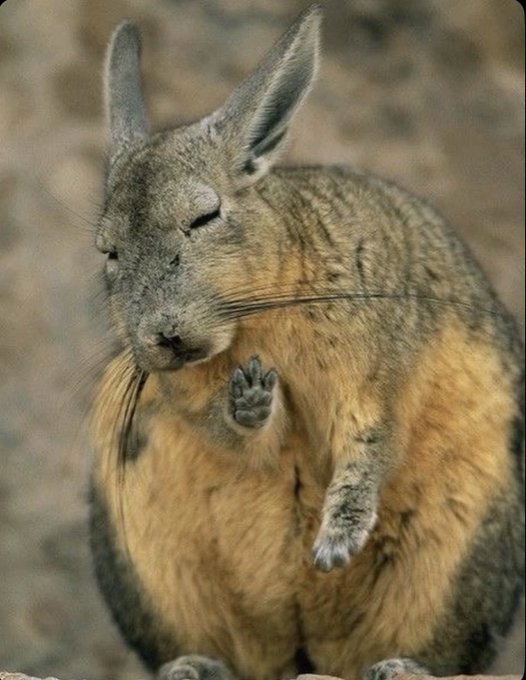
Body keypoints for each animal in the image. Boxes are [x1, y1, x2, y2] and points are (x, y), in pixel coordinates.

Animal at [89, 5, 524, 680]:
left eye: (204, 217)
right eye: (108, 252)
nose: (165, 337)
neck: (256, 315)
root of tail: (307, 648)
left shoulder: (376, 373)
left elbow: (369, 441)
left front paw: (335, 545)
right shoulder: (190, 398)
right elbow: (247, 439)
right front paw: (251, 398)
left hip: (458, 558)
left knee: (442, 657)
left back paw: (399, 668)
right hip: (150, 567)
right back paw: (193, 667)